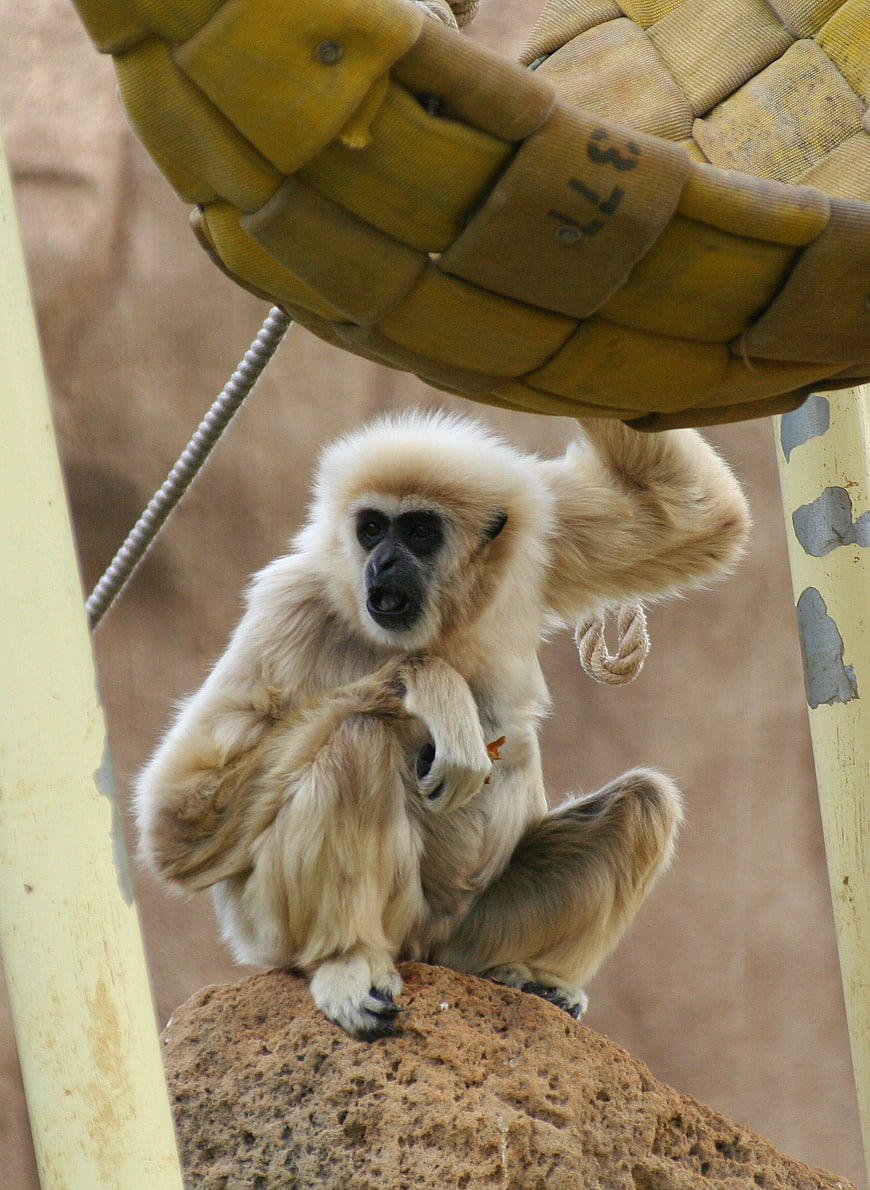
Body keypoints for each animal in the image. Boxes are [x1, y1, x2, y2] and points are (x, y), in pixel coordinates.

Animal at [135, 411, 750, 1039]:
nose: (383, 561)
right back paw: (347, 958)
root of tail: (425, 948)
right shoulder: (290, 604)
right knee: (358, 737)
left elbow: (689, 515)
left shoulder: (541, 539)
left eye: (419, 532)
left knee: (645, 799)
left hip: (472, 934)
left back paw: (535, 977)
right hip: (282, 925)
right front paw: (431, 684)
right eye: (372, 528)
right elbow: (177, 824)